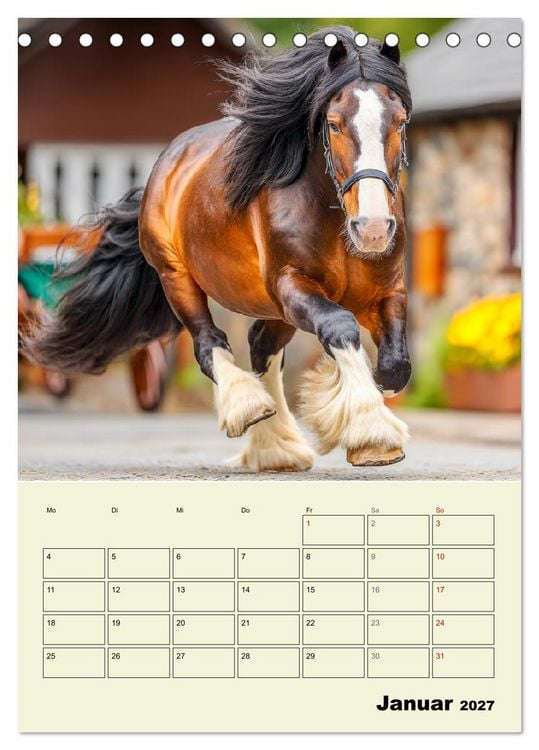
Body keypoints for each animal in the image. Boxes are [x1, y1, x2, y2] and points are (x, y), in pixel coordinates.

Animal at [26, 25, 413, 473]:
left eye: (400, 121)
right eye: (333, 124)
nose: (373, 229)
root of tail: (166, 161)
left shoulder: (386, 293)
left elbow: (394, 368)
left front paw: (365, 426)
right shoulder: (293, 287)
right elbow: (340, 327)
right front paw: (372, 433)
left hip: (274, 309)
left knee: (261, 345)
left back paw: (276, 448)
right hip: (178, 278)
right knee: (209, 342)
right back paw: (249, 409)